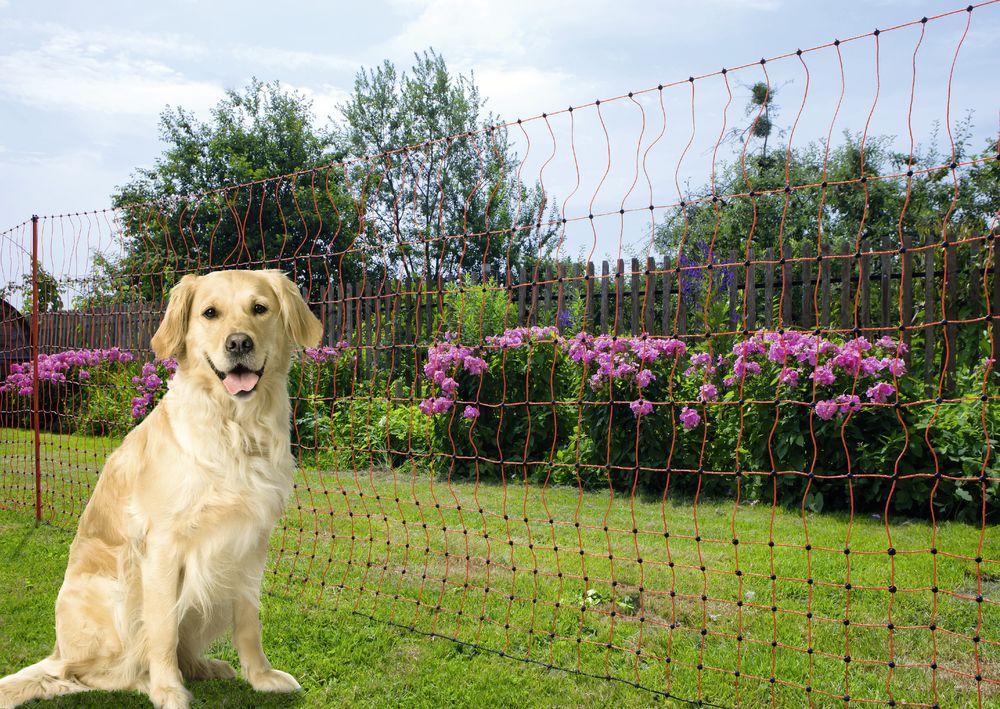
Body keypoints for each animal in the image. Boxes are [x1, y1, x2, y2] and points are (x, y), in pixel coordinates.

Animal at [0, 268, 320, 704]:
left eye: (260, 308)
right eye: (210, 313)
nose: (239, 343)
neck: (235, 427)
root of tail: (57, 652)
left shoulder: (249, 545)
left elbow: (249, 623)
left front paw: (260, 677)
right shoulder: (164, 547)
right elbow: (162, 631)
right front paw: (167, 690)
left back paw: (205, 667)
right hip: (111, 593)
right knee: (91, 673)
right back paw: (143, 679)